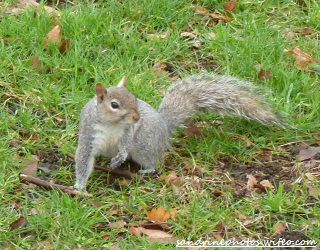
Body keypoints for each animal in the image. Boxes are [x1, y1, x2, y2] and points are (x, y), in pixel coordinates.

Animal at [73, 74, 282, 191]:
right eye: (114, 105)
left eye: (134, 98)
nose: (137, 117)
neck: (112, 125)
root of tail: (165, 128)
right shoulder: (89, 135)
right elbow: (83, 160)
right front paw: (79, 187)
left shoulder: (128, 131)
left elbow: (125, 143)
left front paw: (120, 156)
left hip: (145, 145)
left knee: (153, 161)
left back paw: (145, 169)